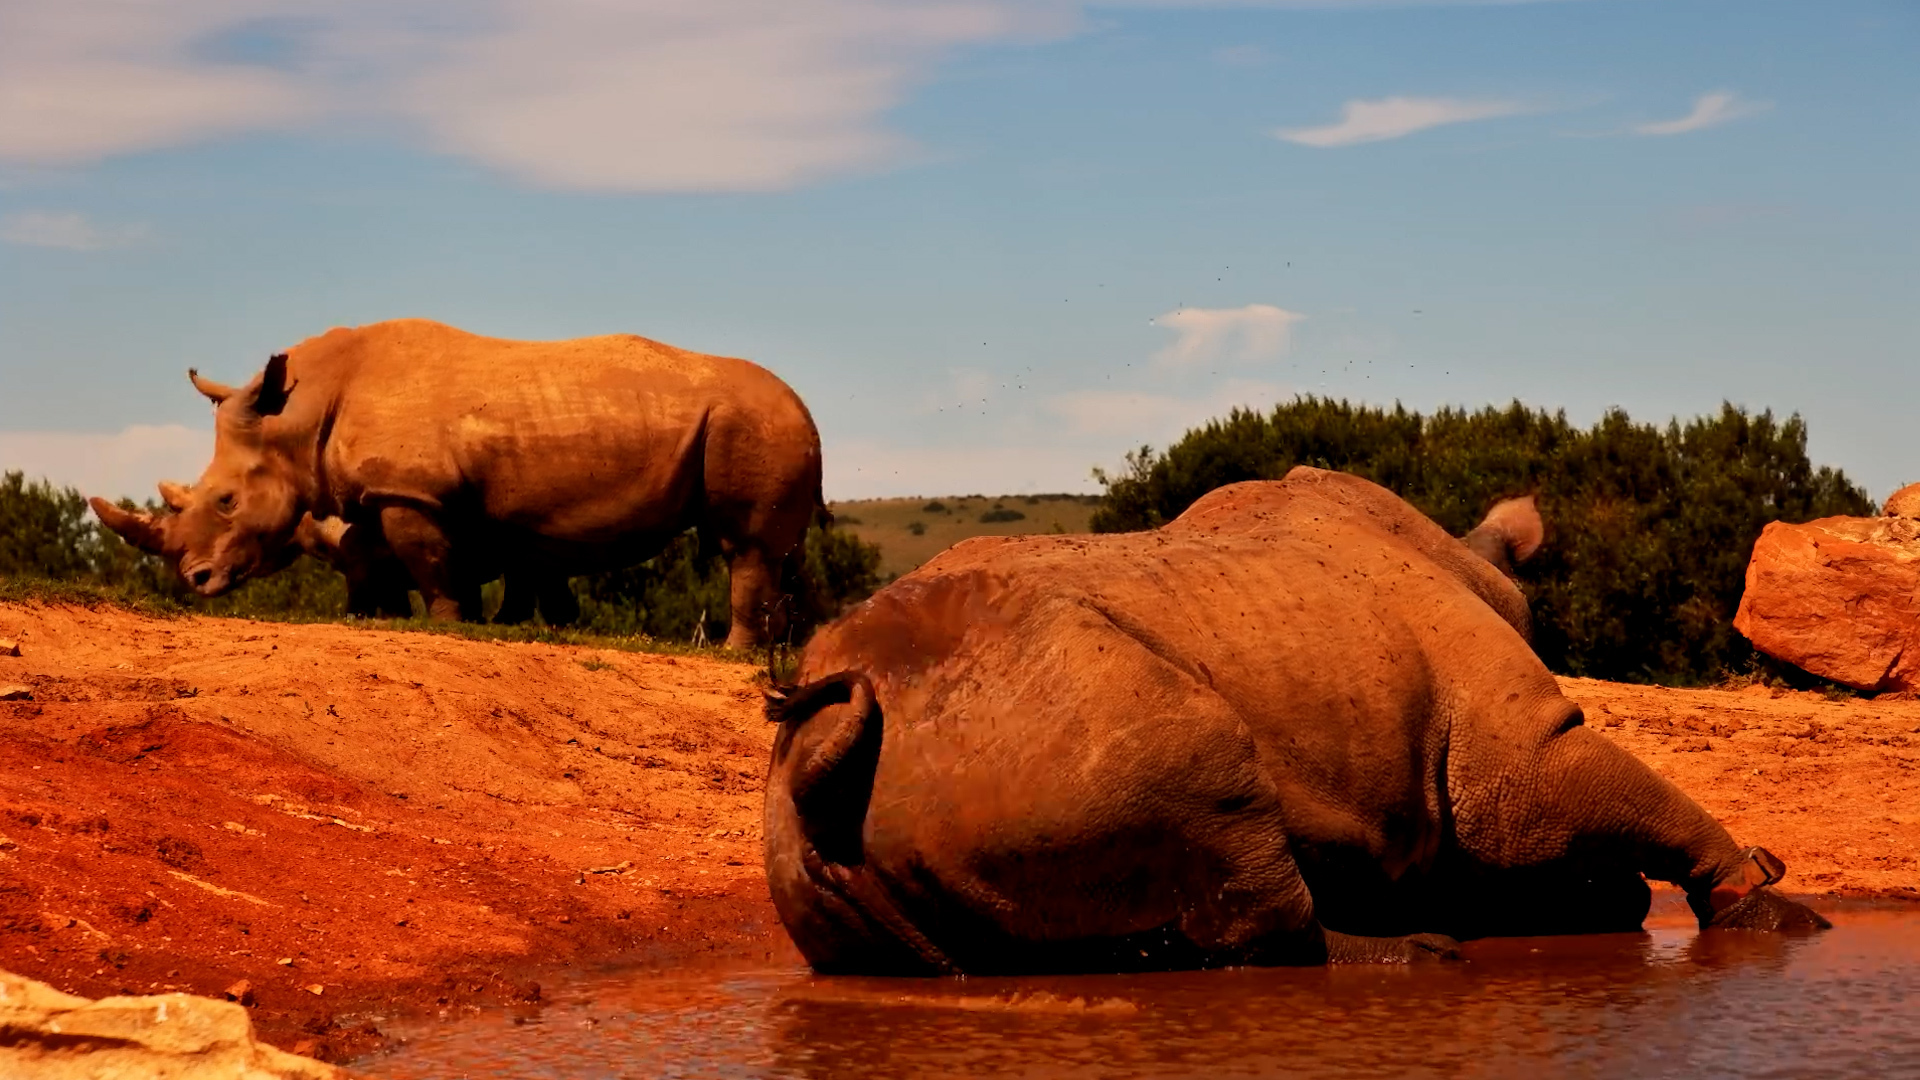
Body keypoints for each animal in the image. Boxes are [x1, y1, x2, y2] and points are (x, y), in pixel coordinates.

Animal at [93, 318, 823, 647]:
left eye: (226, 501)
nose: (194, 581)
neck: (299, 415)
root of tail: (803, 405)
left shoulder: (410, 493)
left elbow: (429, 563)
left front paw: (446, 625)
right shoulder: (389, 493)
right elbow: (379, 553)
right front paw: (384, 617)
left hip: (750, 422)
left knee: (743, 547)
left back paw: (733, 650)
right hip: (760, 423)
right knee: (781, 554)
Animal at [763, 468, 1826, 974]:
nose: (1613, 898)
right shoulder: (1515, 757)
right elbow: (1596, 791)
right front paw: (1773, 912)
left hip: (932, 775)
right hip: (1049, 721)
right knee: (1221, 805)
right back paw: (1417, 956)